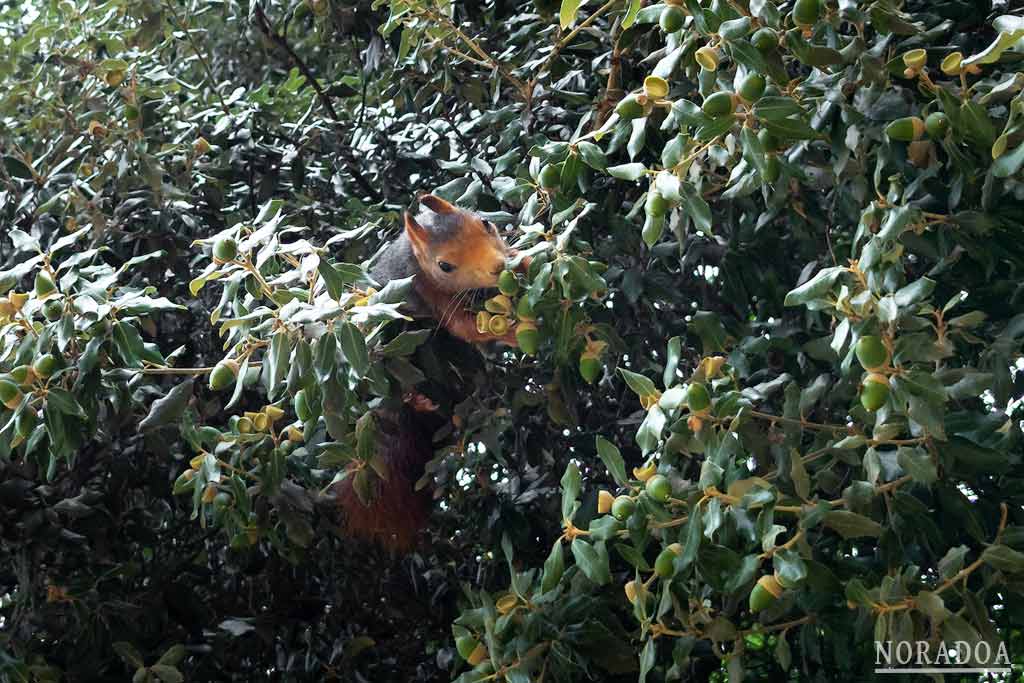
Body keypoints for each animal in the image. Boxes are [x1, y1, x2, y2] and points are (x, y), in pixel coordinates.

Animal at [335, 193, 528, 548]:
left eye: (486, 223)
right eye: (445, 266)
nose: (497, 267)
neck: (414, 257)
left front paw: (525, 260)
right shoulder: (427, 292)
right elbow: (466, 327)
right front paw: (513, 330)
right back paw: (421, 400)